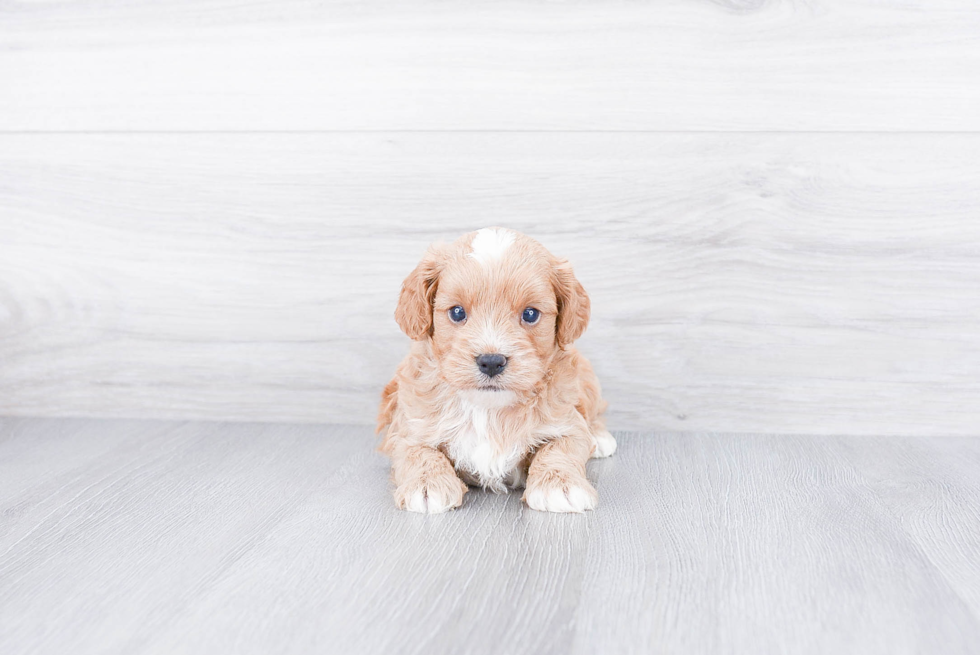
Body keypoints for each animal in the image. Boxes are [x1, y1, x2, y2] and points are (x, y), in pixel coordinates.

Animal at [378, 228, 616, 516]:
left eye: (530, 314)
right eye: (457, 312)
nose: (491, 361)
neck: (488, 408)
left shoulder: (567, 422)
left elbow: (561, 447)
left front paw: (561, 486)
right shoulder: (408, 426)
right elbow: (418, 451)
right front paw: (426, 485)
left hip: (587, 378)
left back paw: (600, 438)